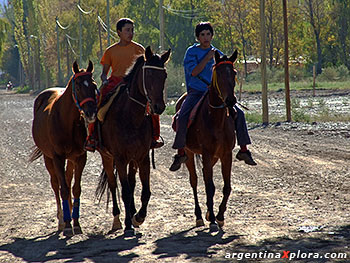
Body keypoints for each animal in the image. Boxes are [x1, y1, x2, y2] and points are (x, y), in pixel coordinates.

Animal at [29, 61, 98, 237]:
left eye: (94, 85)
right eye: (78, 86)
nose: (91, 112)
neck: (66, 121)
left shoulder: (80, 157)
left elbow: (76, 189)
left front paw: (76, 223)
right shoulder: (58, 158)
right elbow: (64, 190)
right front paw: (67, 225)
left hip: (71, 159)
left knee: (67, 179)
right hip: (48, 158)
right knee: (56, 185)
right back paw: (61, 220)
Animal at [96, 46, 170, 236]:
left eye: (164, 75)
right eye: (148, 74)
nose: (159, 107)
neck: (130, 117)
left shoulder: (143, 157)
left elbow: (145, 191)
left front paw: (138, 217)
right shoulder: (120, 159)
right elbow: (125, 191)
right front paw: (128, 224)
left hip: (133, 160)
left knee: (131, 182)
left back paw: (132, 212)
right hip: (107, 157)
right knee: (113, 185)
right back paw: (117, 220)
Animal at [175, 50, 238, 232]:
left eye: (234, 73)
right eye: (218, 74)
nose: (230, 101)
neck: (216, 119)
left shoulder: (225, 154)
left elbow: (226, 186)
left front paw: (220, 216)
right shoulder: (207, 153)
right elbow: (209, 187)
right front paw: (213, 220)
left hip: (214, 157)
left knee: (204, 176)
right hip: (189, 154)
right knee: (195, 181)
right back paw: (199, 216)